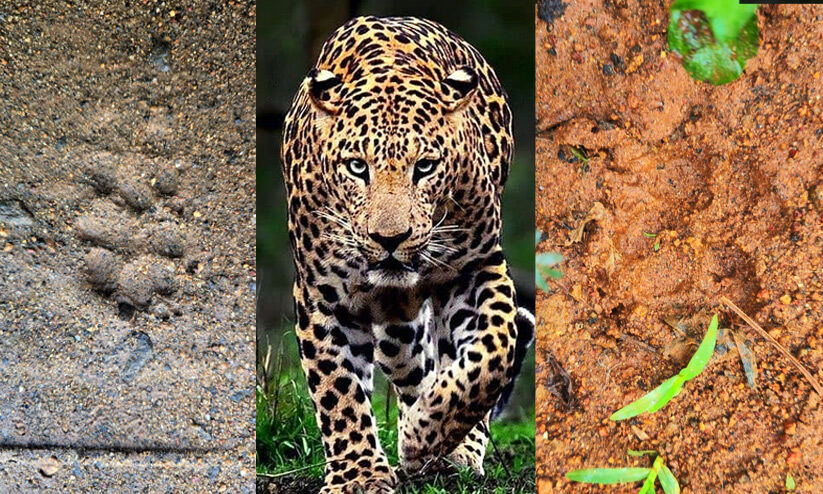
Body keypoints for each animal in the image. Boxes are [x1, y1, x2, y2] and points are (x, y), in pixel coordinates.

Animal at [280, 16, 534, 493]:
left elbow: (494, 350)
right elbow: (337, 388)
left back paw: (450, 447)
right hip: (397, 326)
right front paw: (358, 475)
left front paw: (426, 434)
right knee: (411, 367)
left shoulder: (477, 266)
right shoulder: (322, 294)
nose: (390, 239)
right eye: (357, 167)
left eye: (426, 167)